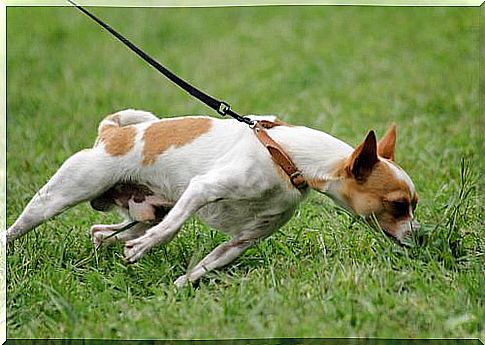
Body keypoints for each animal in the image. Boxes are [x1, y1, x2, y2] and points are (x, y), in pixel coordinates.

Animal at [5, 109, 418, 286]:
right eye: (398, 205)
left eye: (414, 206)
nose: (422, 237)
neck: (287, 155)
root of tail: (110, 133)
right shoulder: (202, 189)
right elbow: (173, 229)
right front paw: (147, 249)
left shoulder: (243, 240)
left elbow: (206, 266)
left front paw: (178, 289)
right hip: (58, 196)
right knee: (18, 227)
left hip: (146, 210)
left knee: (103, 231)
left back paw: (104, 246)